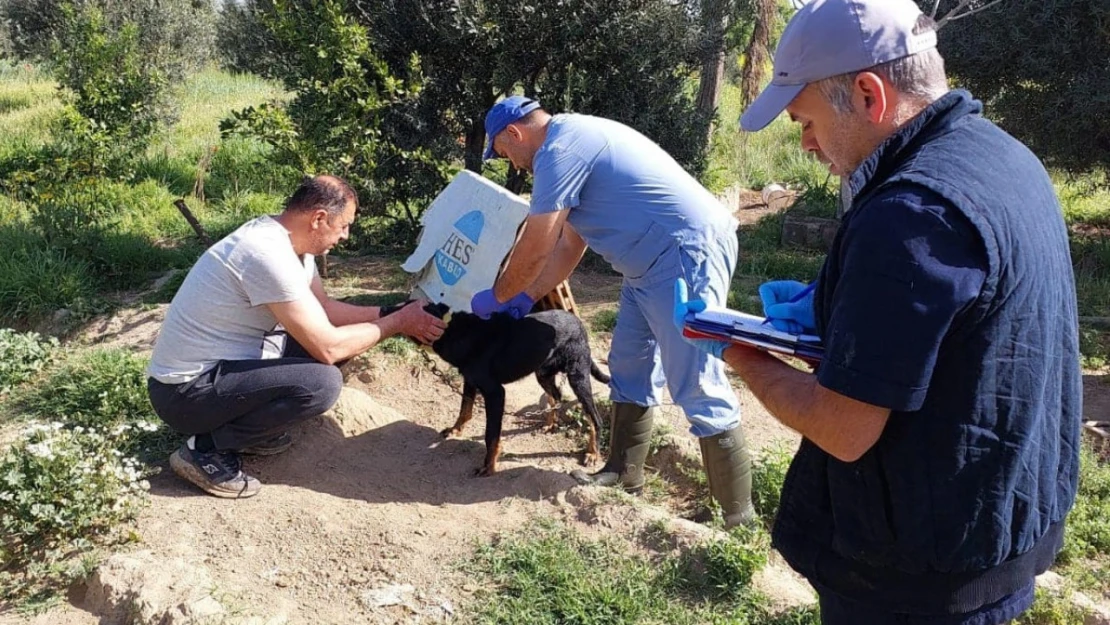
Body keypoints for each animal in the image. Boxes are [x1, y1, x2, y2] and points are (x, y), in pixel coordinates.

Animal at [415, 301, 608, 475]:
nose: (402, 308)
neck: (457, 330)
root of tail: (578, 323)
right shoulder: (470, 382)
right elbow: (464, 411)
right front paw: (455, 430)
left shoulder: (495, 393)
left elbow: (491, 435)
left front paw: (489, 466)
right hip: (543, 374)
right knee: (556, 396)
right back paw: (550, 424)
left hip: (578, 378)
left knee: (595, 419)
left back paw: (593, 453)